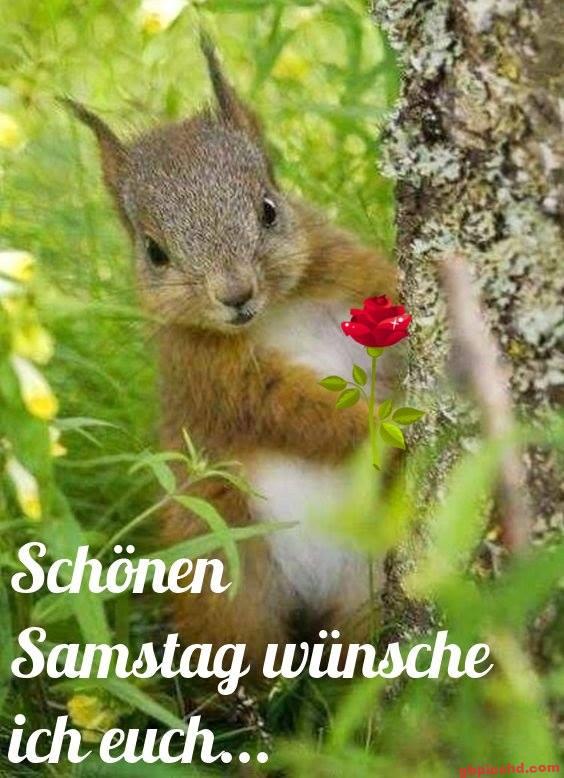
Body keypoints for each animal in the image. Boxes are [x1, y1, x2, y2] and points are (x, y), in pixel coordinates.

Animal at [65, 37, 397, 673]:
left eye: (269, 209)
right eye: (155, 252)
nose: (236, 294)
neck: (277, 311)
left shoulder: (359, 276)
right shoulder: (209, 372)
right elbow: (289, 411)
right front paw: (381, 430)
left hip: (364, 585)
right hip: (224, 583)